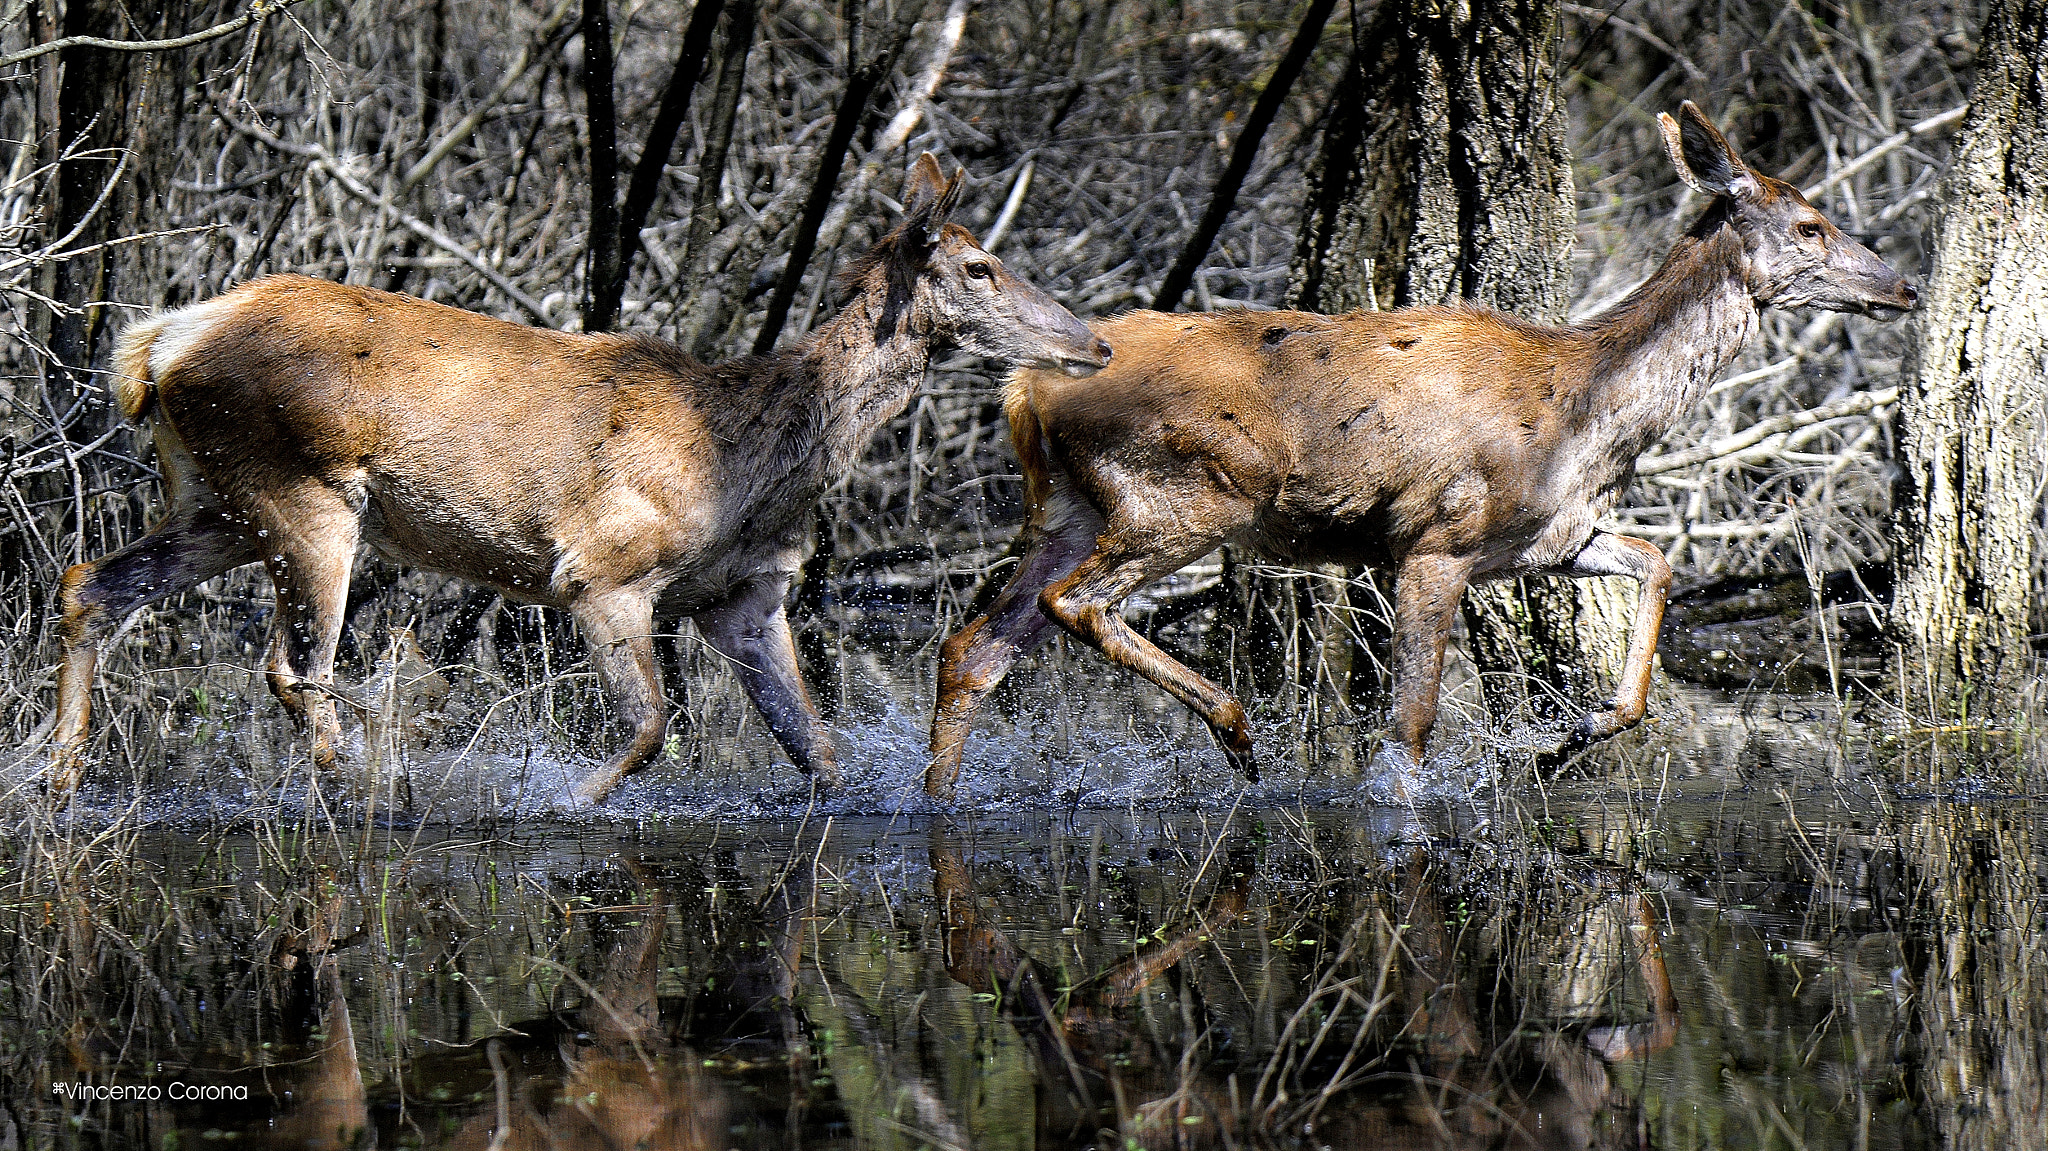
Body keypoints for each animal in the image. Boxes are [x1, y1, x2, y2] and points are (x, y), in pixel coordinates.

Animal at [51, 150, 1105, 798]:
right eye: (980, 266)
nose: (1092, 341)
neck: (748, 457)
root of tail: (160, 342)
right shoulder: (604, 570)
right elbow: (646, 730)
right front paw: (563, 802)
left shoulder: (745, 595)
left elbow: (820, 750)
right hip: (302, 491)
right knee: (288, 664)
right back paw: (363, 790)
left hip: (222, 501)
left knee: (91, 583)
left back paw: (58, 779)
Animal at [929, 102, 1916, 798]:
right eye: (1812, 225)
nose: (1902, 285)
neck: (1586, 415)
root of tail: (1027, 389)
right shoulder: (1438, 539)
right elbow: (1408, 727)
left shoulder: (1546, 537)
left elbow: (1660, 560)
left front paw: (1574, 736)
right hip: (1181, 496)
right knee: (1073, 603)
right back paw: (1238, 731)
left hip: (1074, 505)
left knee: (973, 649)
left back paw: (938, 795)